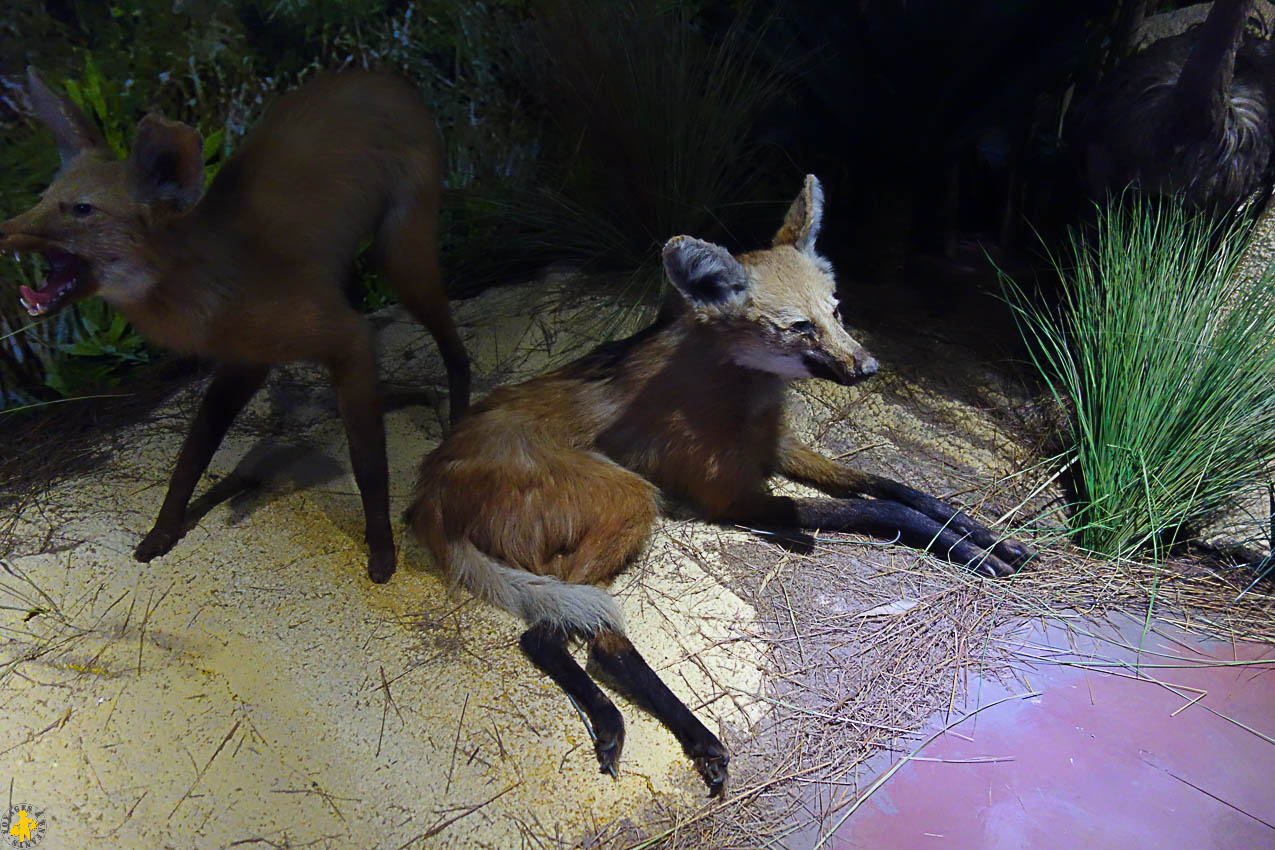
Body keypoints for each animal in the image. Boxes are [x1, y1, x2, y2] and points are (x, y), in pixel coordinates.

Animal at [1, 69, 469, 586]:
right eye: (42, 199)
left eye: (81, 209)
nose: (3, 230)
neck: (210, 288)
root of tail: (383, 77)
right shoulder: (245, 363)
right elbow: (191, 457)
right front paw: (162, 534)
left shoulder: (345, 339)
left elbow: (368, 463)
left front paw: (382, 552)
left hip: (401, 256)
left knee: (458, 353)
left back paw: (457, 427)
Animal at [408, 174, 1035, 800]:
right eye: (800, 327)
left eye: (836, 312)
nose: (869, 367)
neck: (740, 390)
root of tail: (429, 486)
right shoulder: (732, 496)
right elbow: (882, 508)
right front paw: (968, 548)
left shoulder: (778, 451)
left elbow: (900, 488)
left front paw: (987, 536)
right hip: (632, 499)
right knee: (561, 637)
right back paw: (679, 735)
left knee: (571, 633)